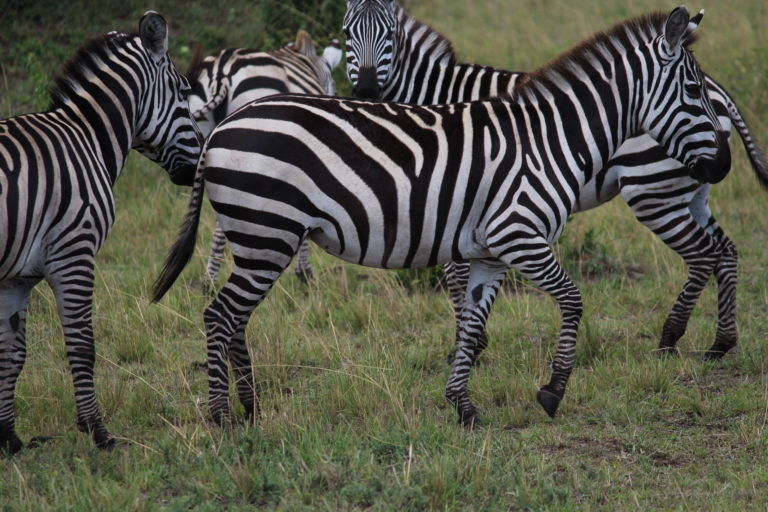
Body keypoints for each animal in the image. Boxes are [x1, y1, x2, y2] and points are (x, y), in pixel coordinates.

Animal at [0, 11, 204, 452]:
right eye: (184, 93)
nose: (198, 167)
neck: (87, 136)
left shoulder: (15, 278)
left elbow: (11, 354)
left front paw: (8, 438)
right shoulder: (73, 252)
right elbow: (83, 346)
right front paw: (97, 431)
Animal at [344, 0, 768, 360]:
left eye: (389, 35)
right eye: (347, 34)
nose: (366, 91)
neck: (437, 95)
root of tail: (717, 92)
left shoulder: (457, 198)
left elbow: (455, 273)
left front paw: (470, 344)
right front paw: (472, 340)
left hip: (652, 193)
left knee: (703, 254)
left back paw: (670, 336)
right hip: (692, 190)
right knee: (725, 250)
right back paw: (721, 342)